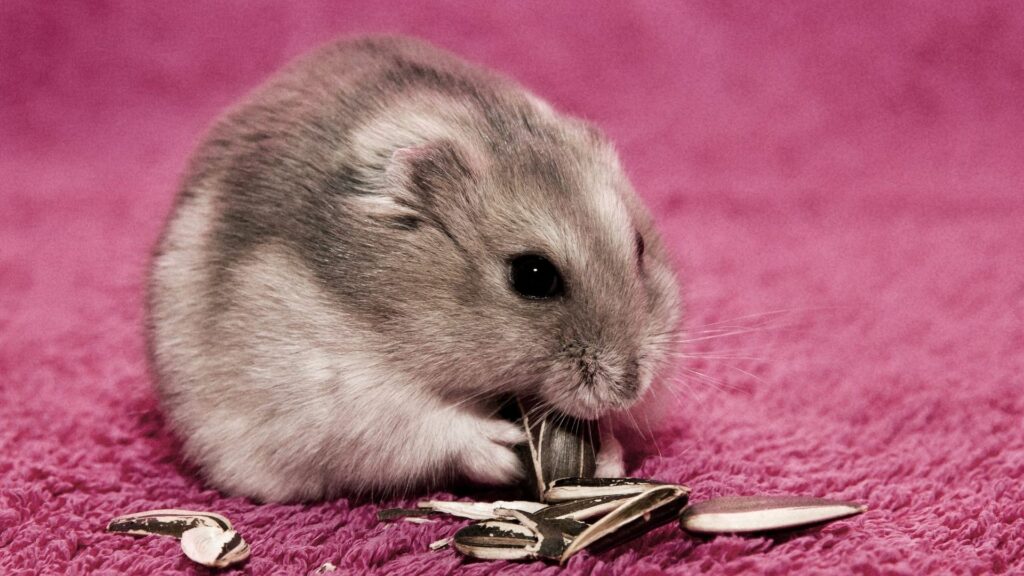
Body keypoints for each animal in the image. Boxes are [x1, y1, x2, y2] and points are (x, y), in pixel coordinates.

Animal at [147, 36, 682, 502]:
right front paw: (503, 448)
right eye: (532, 276)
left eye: (639, 247)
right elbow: (429, 425)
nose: (630, 388)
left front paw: (608, 456)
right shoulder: (339, 396)